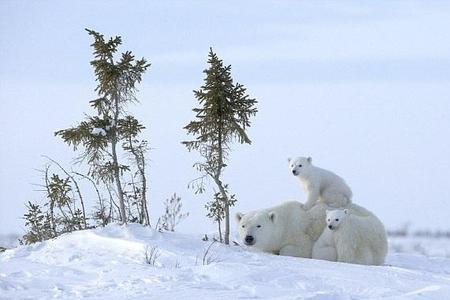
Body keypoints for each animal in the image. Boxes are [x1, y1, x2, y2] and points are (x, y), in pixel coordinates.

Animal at [234, 200, 384, 264]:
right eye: (243, 225)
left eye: (258, 225)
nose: (248, 238)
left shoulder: (299, 233)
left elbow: (296, 248)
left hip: (357, 229)